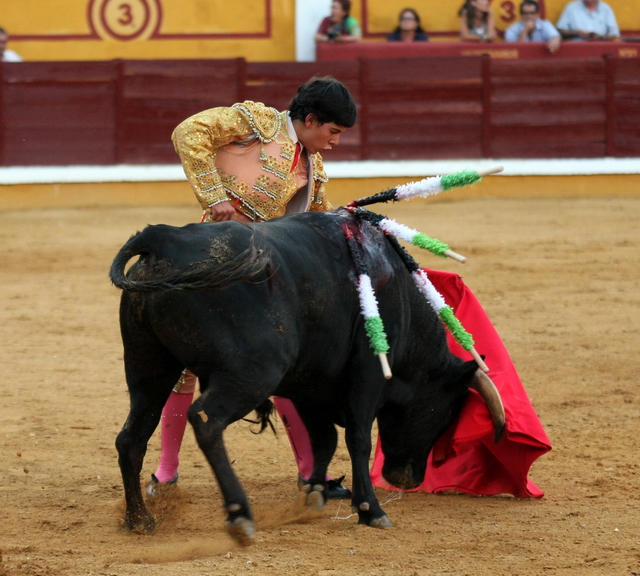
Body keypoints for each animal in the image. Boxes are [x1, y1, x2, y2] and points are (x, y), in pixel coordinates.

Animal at [110, 208, 504, 544]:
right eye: (446, 415)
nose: (409, 479)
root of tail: (163, 239)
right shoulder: (367, 374)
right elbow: (358, 439)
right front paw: (370, 509)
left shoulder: (309, 383)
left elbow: (323, 439)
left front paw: (315, 494)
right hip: (252, 373)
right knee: (206, 420)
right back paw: (239, 515)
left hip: (147, 366)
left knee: (132, 437)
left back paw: (140, 519)